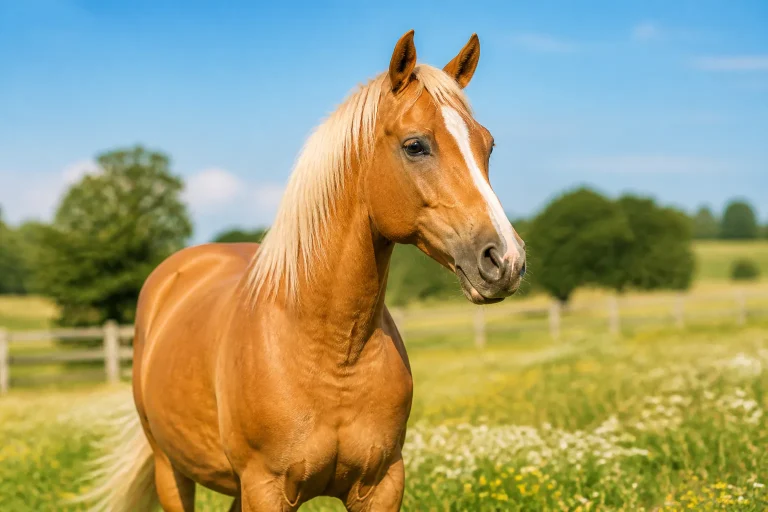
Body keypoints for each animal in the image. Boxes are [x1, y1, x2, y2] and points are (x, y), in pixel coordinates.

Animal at [82, 30, 526, 511]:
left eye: (488, 145)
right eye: (415, 145)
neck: (332, 353)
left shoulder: (382, 484)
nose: (505, 260)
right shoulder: (267, 487)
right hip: (172, 469)